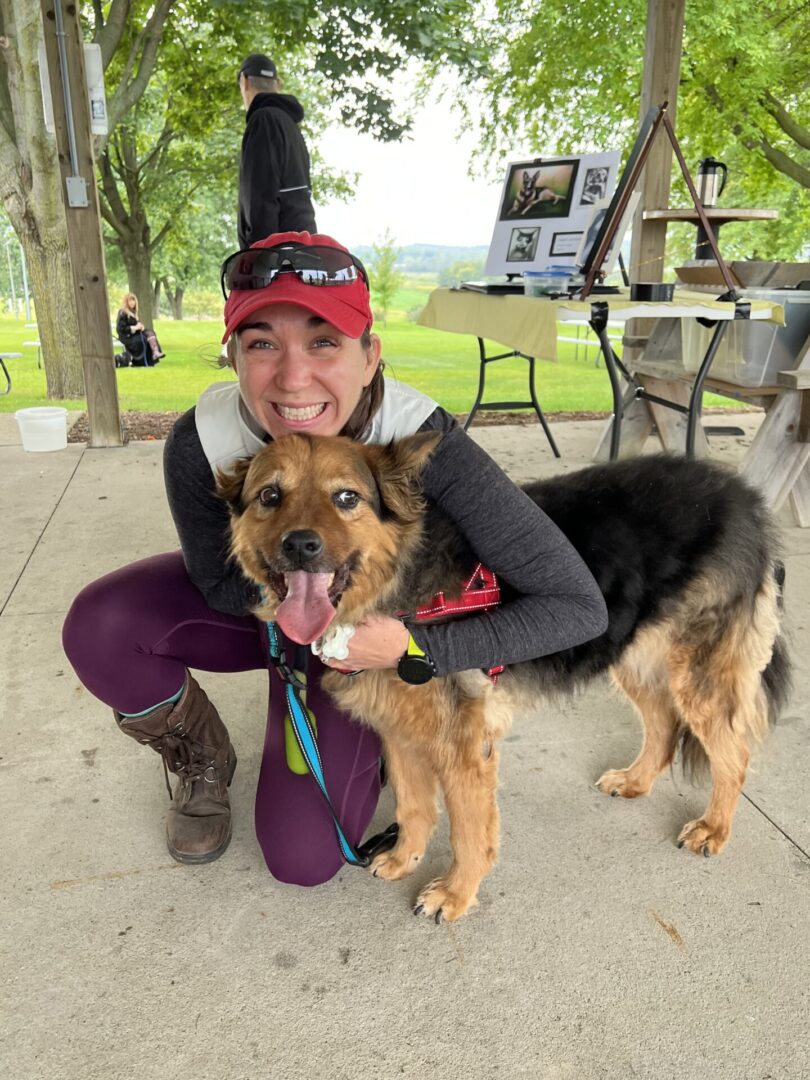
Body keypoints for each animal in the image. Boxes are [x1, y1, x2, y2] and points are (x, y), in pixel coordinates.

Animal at [219, 429, 790, 920]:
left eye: (346, 498)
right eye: (270, 495)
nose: (300, 545)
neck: (398, 584)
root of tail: (747, 498)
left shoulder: (463, 744)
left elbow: (469, 831)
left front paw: (455, 893)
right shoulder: (401, 732)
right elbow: (413, 806)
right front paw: (405, 858)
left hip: (697, 676)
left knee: (733, 754)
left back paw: (714, 827)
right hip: (632, 655)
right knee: (665, 726)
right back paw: (636, 780)